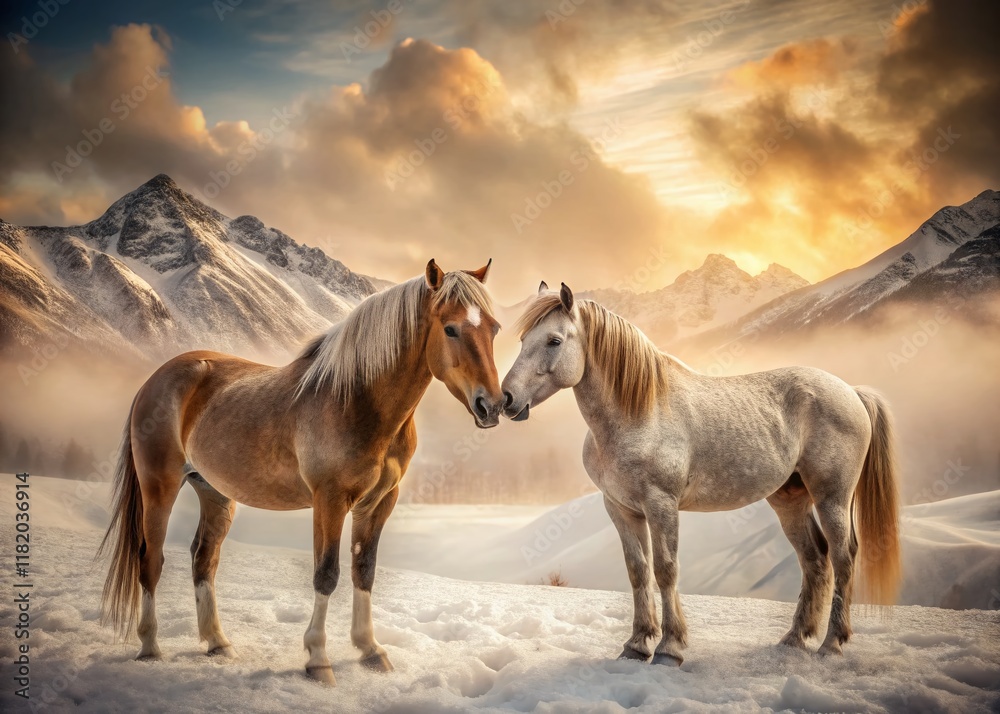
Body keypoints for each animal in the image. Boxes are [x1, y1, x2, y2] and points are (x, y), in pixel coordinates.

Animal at [99, 259, 504, 685]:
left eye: (494, 328)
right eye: (450, 328)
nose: (492, 406)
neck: (357, 399)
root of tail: (156, 379)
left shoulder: (378, 503)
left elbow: (364, 570)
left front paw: (370, 650)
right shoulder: (330, 500)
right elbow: (326, 574)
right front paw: (318, 659)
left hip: (215, 492)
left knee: (203, 559)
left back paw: (217, 643)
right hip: (158, 486)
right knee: (150, 560)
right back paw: (150, 647)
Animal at [500, 282, 901, 665]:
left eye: (553, 340)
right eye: (523, 340)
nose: (505, 399)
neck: (641, 412)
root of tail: (851, 391)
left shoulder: (661, 505)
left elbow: (665, 570)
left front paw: (669, 649)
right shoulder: (621, 509)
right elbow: (637, 571)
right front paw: (636, 645)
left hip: (832, 497)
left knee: (843, 556)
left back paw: (832, 645)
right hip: (789, 501)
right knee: (815, 559)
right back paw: (794, 639)